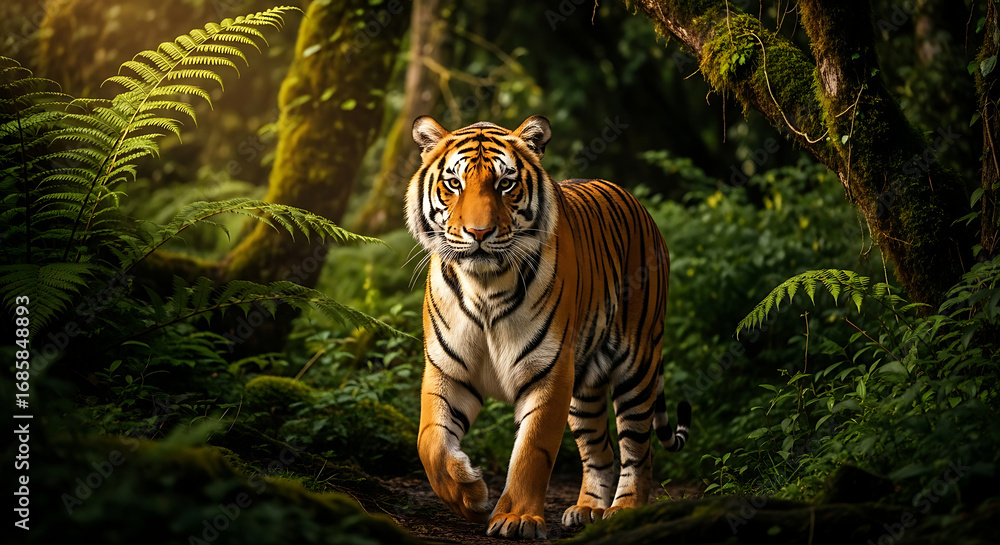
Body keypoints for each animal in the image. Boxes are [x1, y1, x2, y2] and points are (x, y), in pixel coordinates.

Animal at [406, 114, 691, 540]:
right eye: (454, 183)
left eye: (505, 183)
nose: (478, 233)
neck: (484, 284)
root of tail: (638, 204)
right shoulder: (447, 370)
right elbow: (430, 443)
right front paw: (470, 495)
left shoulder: (549, 372)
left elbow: (532, 451)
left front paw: (517, 518)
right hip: (584, 390)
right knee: (600, 450)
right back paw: (588, 509)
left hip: (637, 366)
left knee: (638, 450)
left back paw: (624, 511)